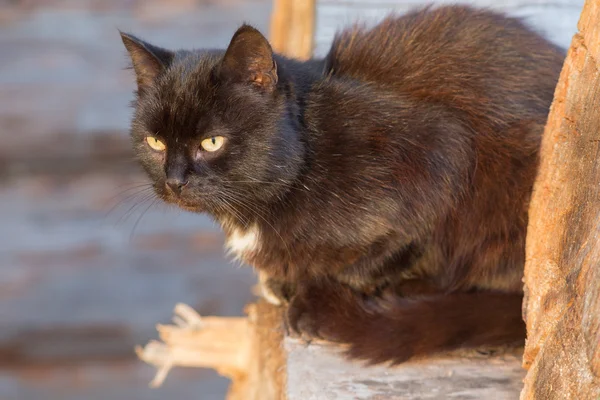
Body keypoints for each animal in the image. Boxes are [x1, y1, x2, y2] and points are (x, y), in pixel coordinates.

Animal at [120, 4, 564, 364]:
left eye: (211, 142)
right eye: (155, 142)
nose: (174, 180)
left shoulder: (440, 150)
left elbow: (376, 256)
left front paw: (313, 300)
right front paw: (283, 282)